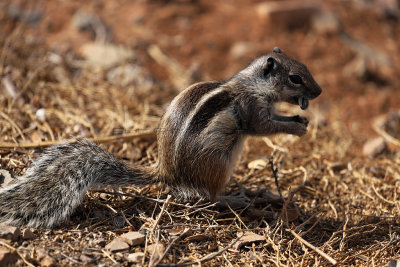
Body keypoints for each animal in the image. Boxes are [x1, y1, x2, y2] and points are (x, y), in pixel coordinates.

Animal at [0, 47, 320, 228]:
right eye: (295, 78)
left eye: (305, 68)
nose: (318, 92)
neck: (253, 84)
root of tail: (167, 172)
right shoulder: (253, 109)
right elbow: (264, 127)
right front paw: (296, 127)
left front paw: (300, 120)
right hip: (219, 163)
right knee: (211, 197)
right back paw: (236, 198)